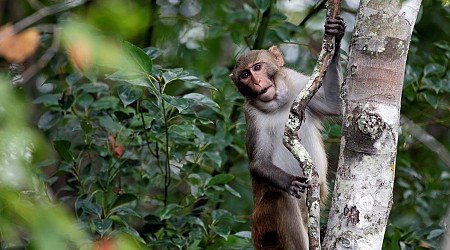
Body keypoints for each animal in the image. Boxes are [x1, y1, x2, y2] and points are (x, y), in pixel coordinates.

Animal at [230, 16, 346, 249]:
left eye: (257, 67)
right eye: (245, 75)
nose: (257, 82)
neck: (278, 104)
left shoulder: (299, 84)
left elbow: (334, 104)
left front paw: (336, 36)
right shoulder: (252, 116)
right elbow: (258, 163)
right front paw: (289, 182)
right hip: (262, 227)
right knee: (280, 200)